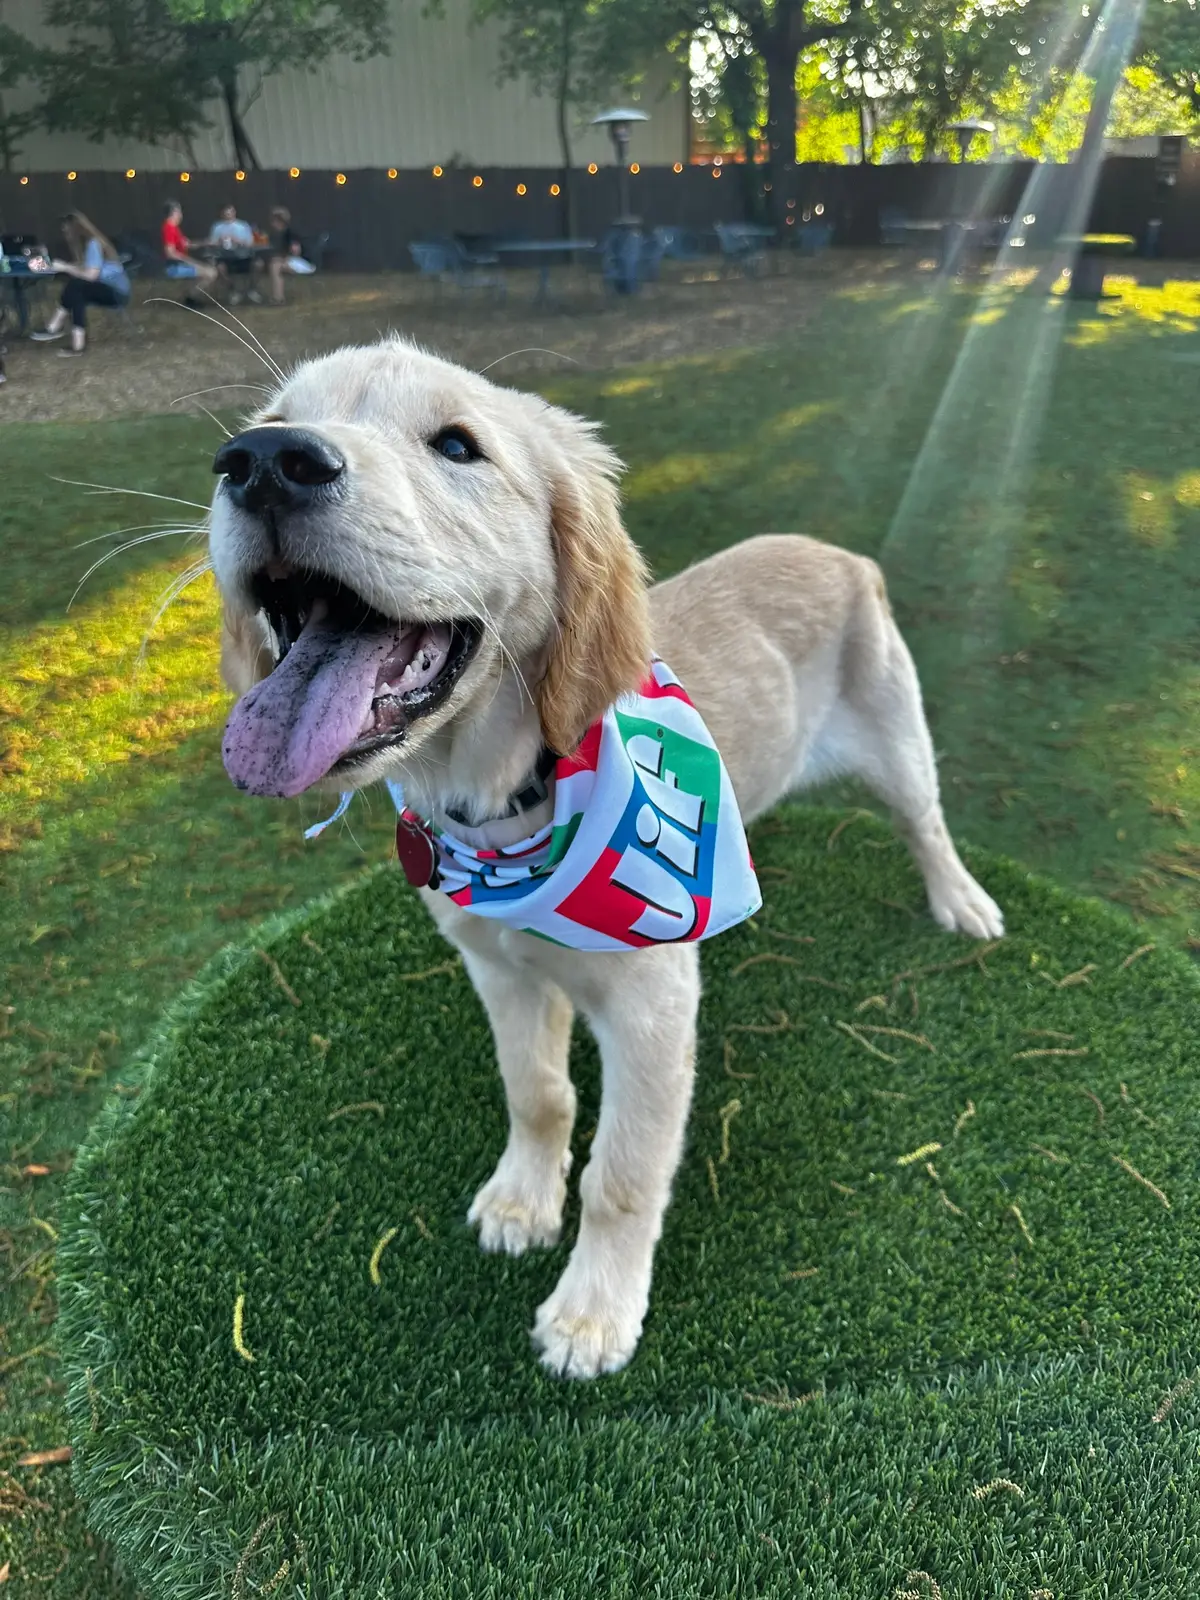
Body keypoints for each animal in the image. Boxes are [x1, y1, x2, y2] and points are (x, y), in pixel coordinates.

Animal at [209, 334, 1004, 1376]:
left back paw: (961, 901)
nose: (263, 463)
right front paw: (522, 1200)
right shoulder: (499, 971)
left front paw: (593, 1313)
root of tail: (838, 548)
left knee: (929, 824)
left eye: (457, 445)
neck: (510, 808)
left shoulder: (653, 1012)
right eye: (269, 422)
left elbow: (623, 1175)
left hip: (901, 743)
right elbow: (538, 1095)